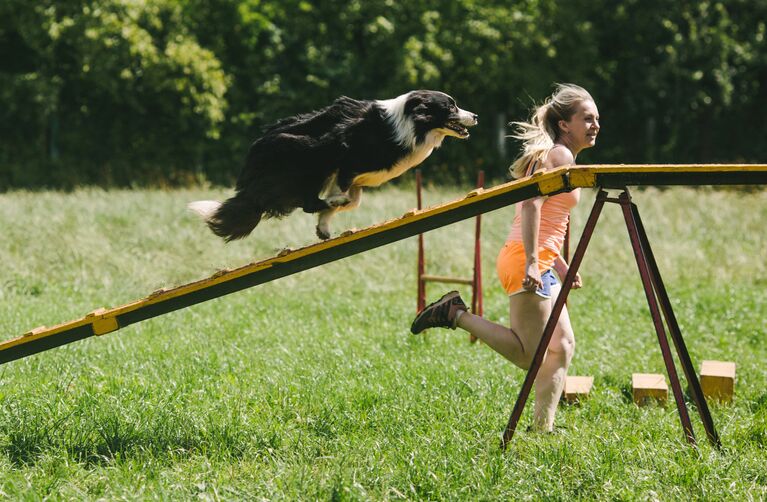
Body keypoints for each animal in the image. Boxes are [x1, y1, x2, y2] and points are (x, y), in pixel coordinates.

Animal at [189, 90, 476, 241]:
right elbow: (344, 196)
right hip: (309, 155)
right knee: (308, 201)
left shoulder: (357, 177)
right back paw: (332, 200)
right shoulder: (344, 156)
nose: (475, 115)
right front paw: (333, 207)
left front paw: (324, 226)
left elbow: (354, 201)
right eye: (451, 106)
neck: (410, 123)